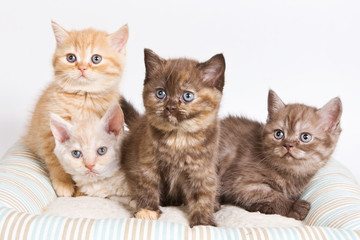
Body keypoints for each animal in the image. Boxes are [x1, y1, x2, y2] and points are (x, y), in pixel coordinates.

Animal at [22, 21, 129, 197]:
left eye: (96, 59)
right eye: (71, 58)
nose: (82, 68)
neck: (84, 97)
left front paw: (80, 191)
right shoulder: (46, 131)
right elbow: (55, 158)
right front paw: (63, 183)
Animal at [121, 48, 225, 227]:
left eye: (187, 96)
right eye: (160, 93)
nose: (170, 107)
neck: (179, 138)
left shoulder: (202, 169)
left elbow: (202, 194)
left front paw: (204, 222)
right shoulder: (147, 163)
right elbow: (147, 185)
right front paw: (147, 210)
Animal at [218, 89, 342, 219]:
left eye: (305, 137)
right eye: (278, 134)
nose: (288, 145)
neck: (289, 173)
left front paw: (262, 207)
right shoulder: (242, 182)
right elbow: (271, 193)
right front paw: (293, 207)